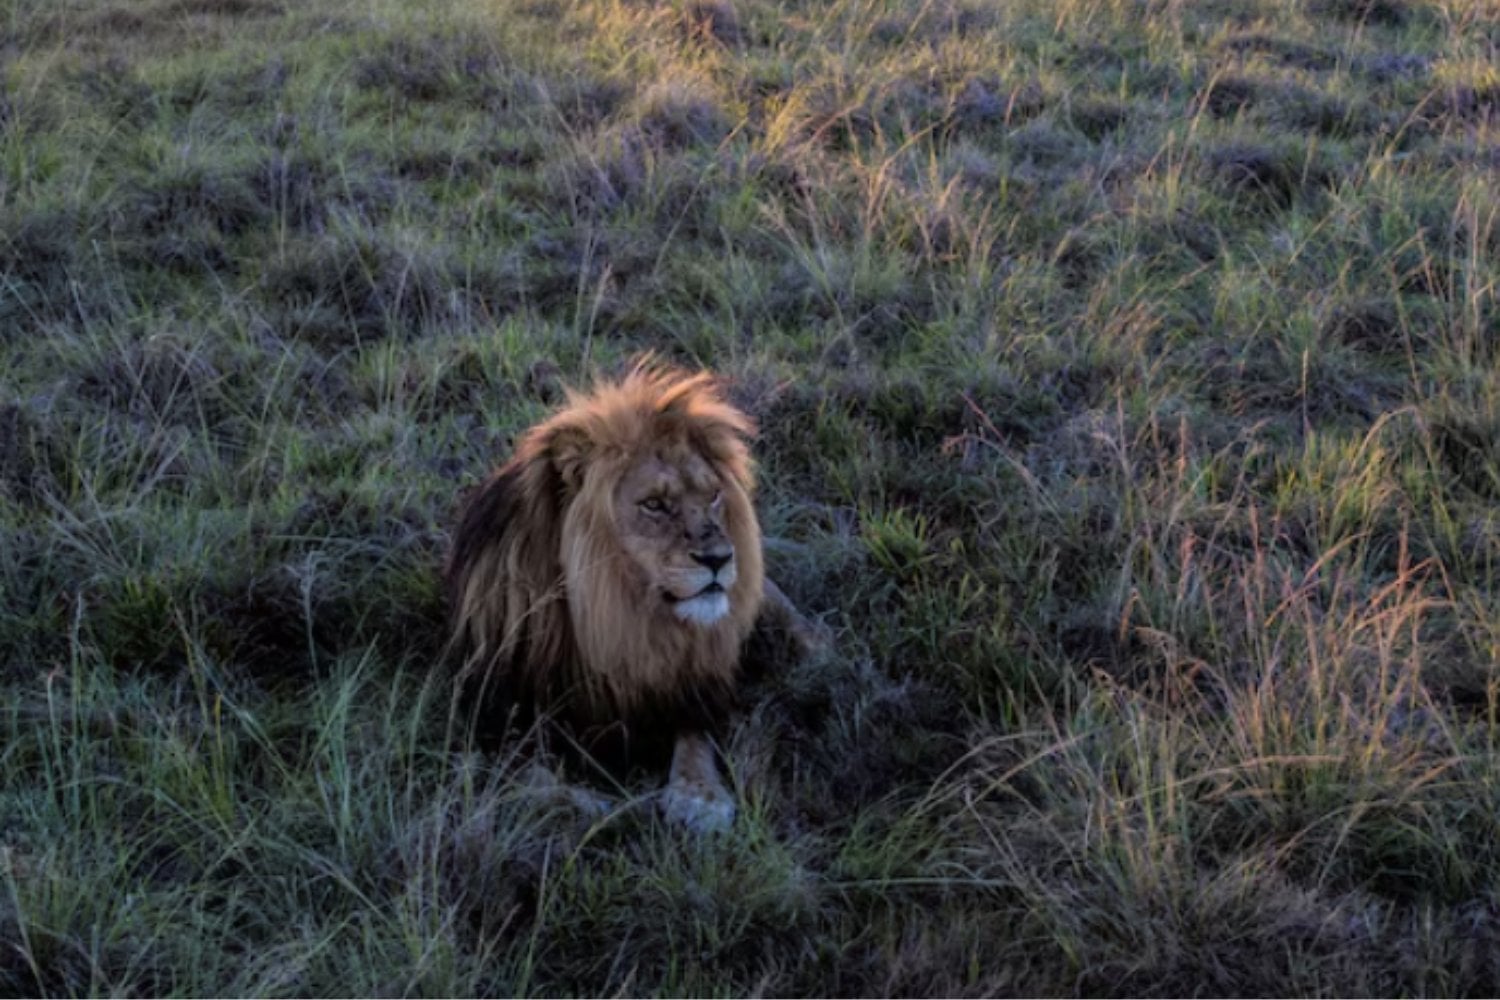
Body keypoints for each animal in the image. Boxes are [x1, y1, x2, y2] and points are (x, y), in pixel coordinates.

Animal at [445, 360, 821, 832]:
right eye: (654, 504)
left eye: (713, 495)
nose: (720, 558)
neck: (617, 615)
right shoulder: (493, 716)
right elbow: (533, 783)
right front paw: (606, 807)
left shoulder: (693, 683)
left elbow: (694, 734)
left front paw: (699, 796)